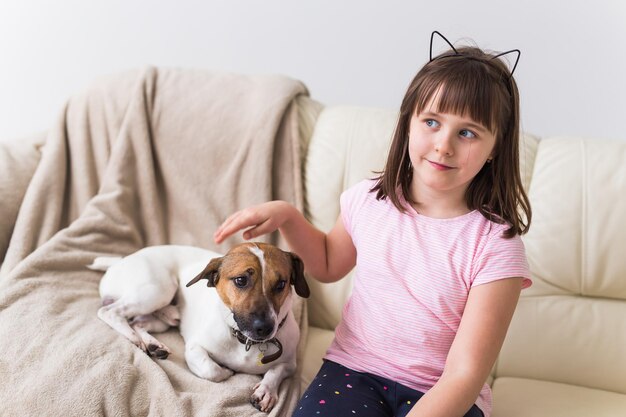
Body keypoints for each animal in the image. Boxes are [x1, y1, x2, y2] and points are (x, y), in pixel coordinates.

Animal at [89, 242, 308, 412]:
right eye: (241, 280)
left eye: (281, 284)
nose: (264, 328)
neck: (245, 341)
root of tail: (120, 260)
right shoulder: (194, 349)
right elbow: (211, 369)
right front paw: (227, 371)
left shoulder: (290, 364)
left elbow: (276, 371)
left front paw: (266, 390)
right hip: (158, 289)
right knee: (109, 312)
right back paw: (136, 335)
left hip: (157, 313)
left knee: (138, 322)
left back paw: (154, 342)